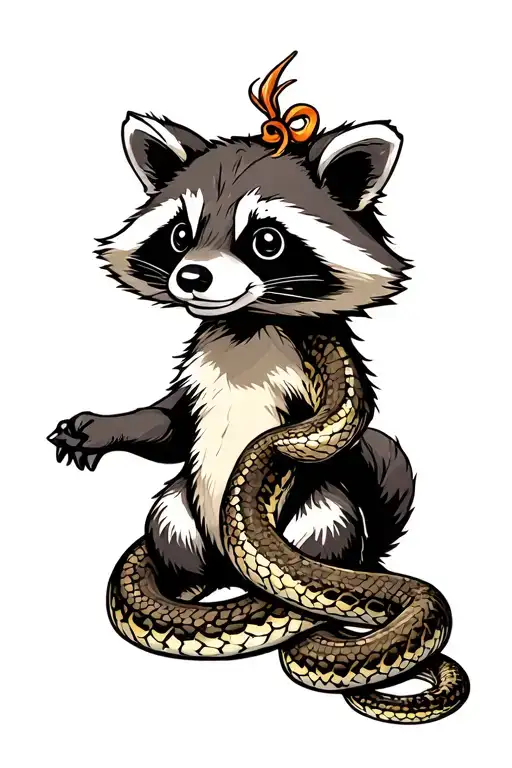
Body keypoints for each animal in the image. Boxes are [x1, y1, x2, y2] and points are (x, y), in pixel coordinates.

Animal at [49, 83, 414, 596]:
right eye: (181, 235)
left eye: (267, 241)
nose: (192, 278)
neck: (245, 326)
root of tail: (229, 574)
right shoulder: (195, 376)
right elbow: (168, 427)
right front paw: (104, 426)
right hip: (179, 512)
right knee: (170, 528)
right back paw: (185, 591)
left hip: (322, 510)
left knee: (326, 529)